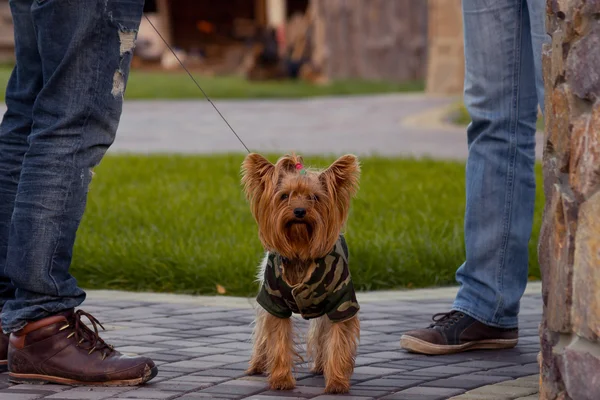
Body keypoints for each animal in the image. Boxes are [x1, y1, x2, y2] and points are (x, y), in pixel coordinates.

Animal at [239, 153, 360, 394]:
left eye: (314, 197)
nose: (299, 211)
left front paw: (336, 382)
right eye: (284, 196)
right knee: (261, 332)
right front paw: (281, 379)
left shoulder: (341, 303)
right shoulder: (274, 302)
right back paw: (257, 364)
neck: (301, 252)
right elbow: (278, 339)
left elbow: (337, 338)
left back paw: (321, 365)